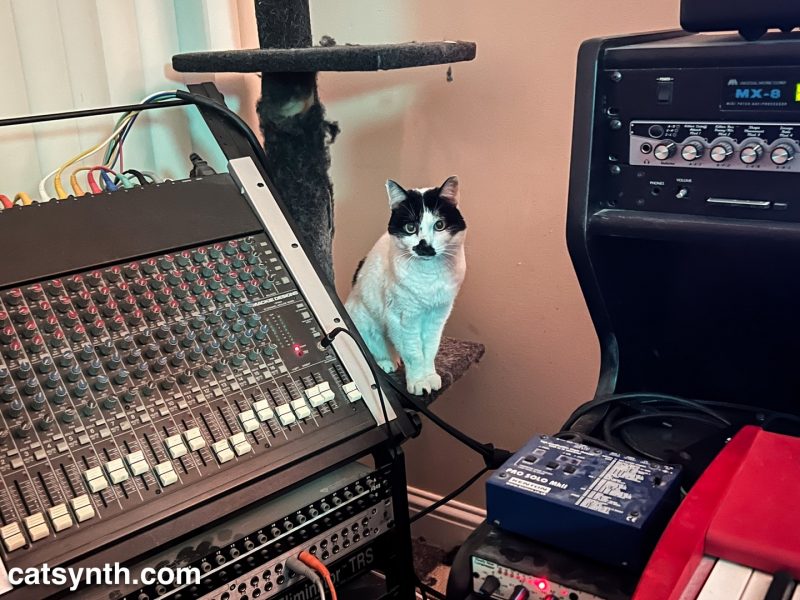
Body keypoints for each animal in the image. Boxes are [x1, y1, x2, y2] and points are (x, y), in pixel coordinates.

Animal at [346, 176, 468, 396]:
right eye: (410, 228)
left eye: (439, 225)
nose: (424, 246)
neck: (429, 277)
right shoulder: (402, 319)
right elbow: (414, 353)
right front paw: (419, 382)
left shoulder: (437, 316)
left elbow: (430, 349)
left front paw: (430, 377)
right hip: (364, 320)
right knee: (375, 349)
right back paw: (386, 362)